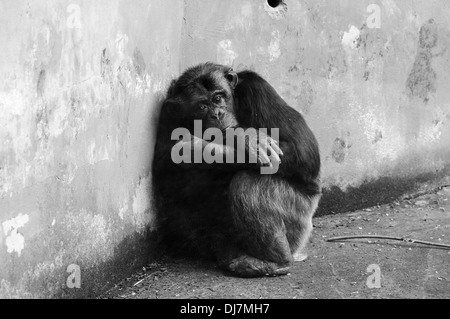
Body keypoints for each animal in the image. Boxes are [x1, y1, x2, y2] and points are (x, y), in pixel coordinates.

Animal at [153, 62, 322, 278]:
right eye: (202, 106)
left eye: (218, 98)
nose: (217, 114)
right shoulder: (168, 113)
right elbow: (166, 173)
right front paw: (242, 138)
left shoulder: (257, 88)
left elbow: (302, 149)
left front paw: (242, 137)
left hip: (299, 219)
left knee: (248, 181)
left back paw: (275, 262)